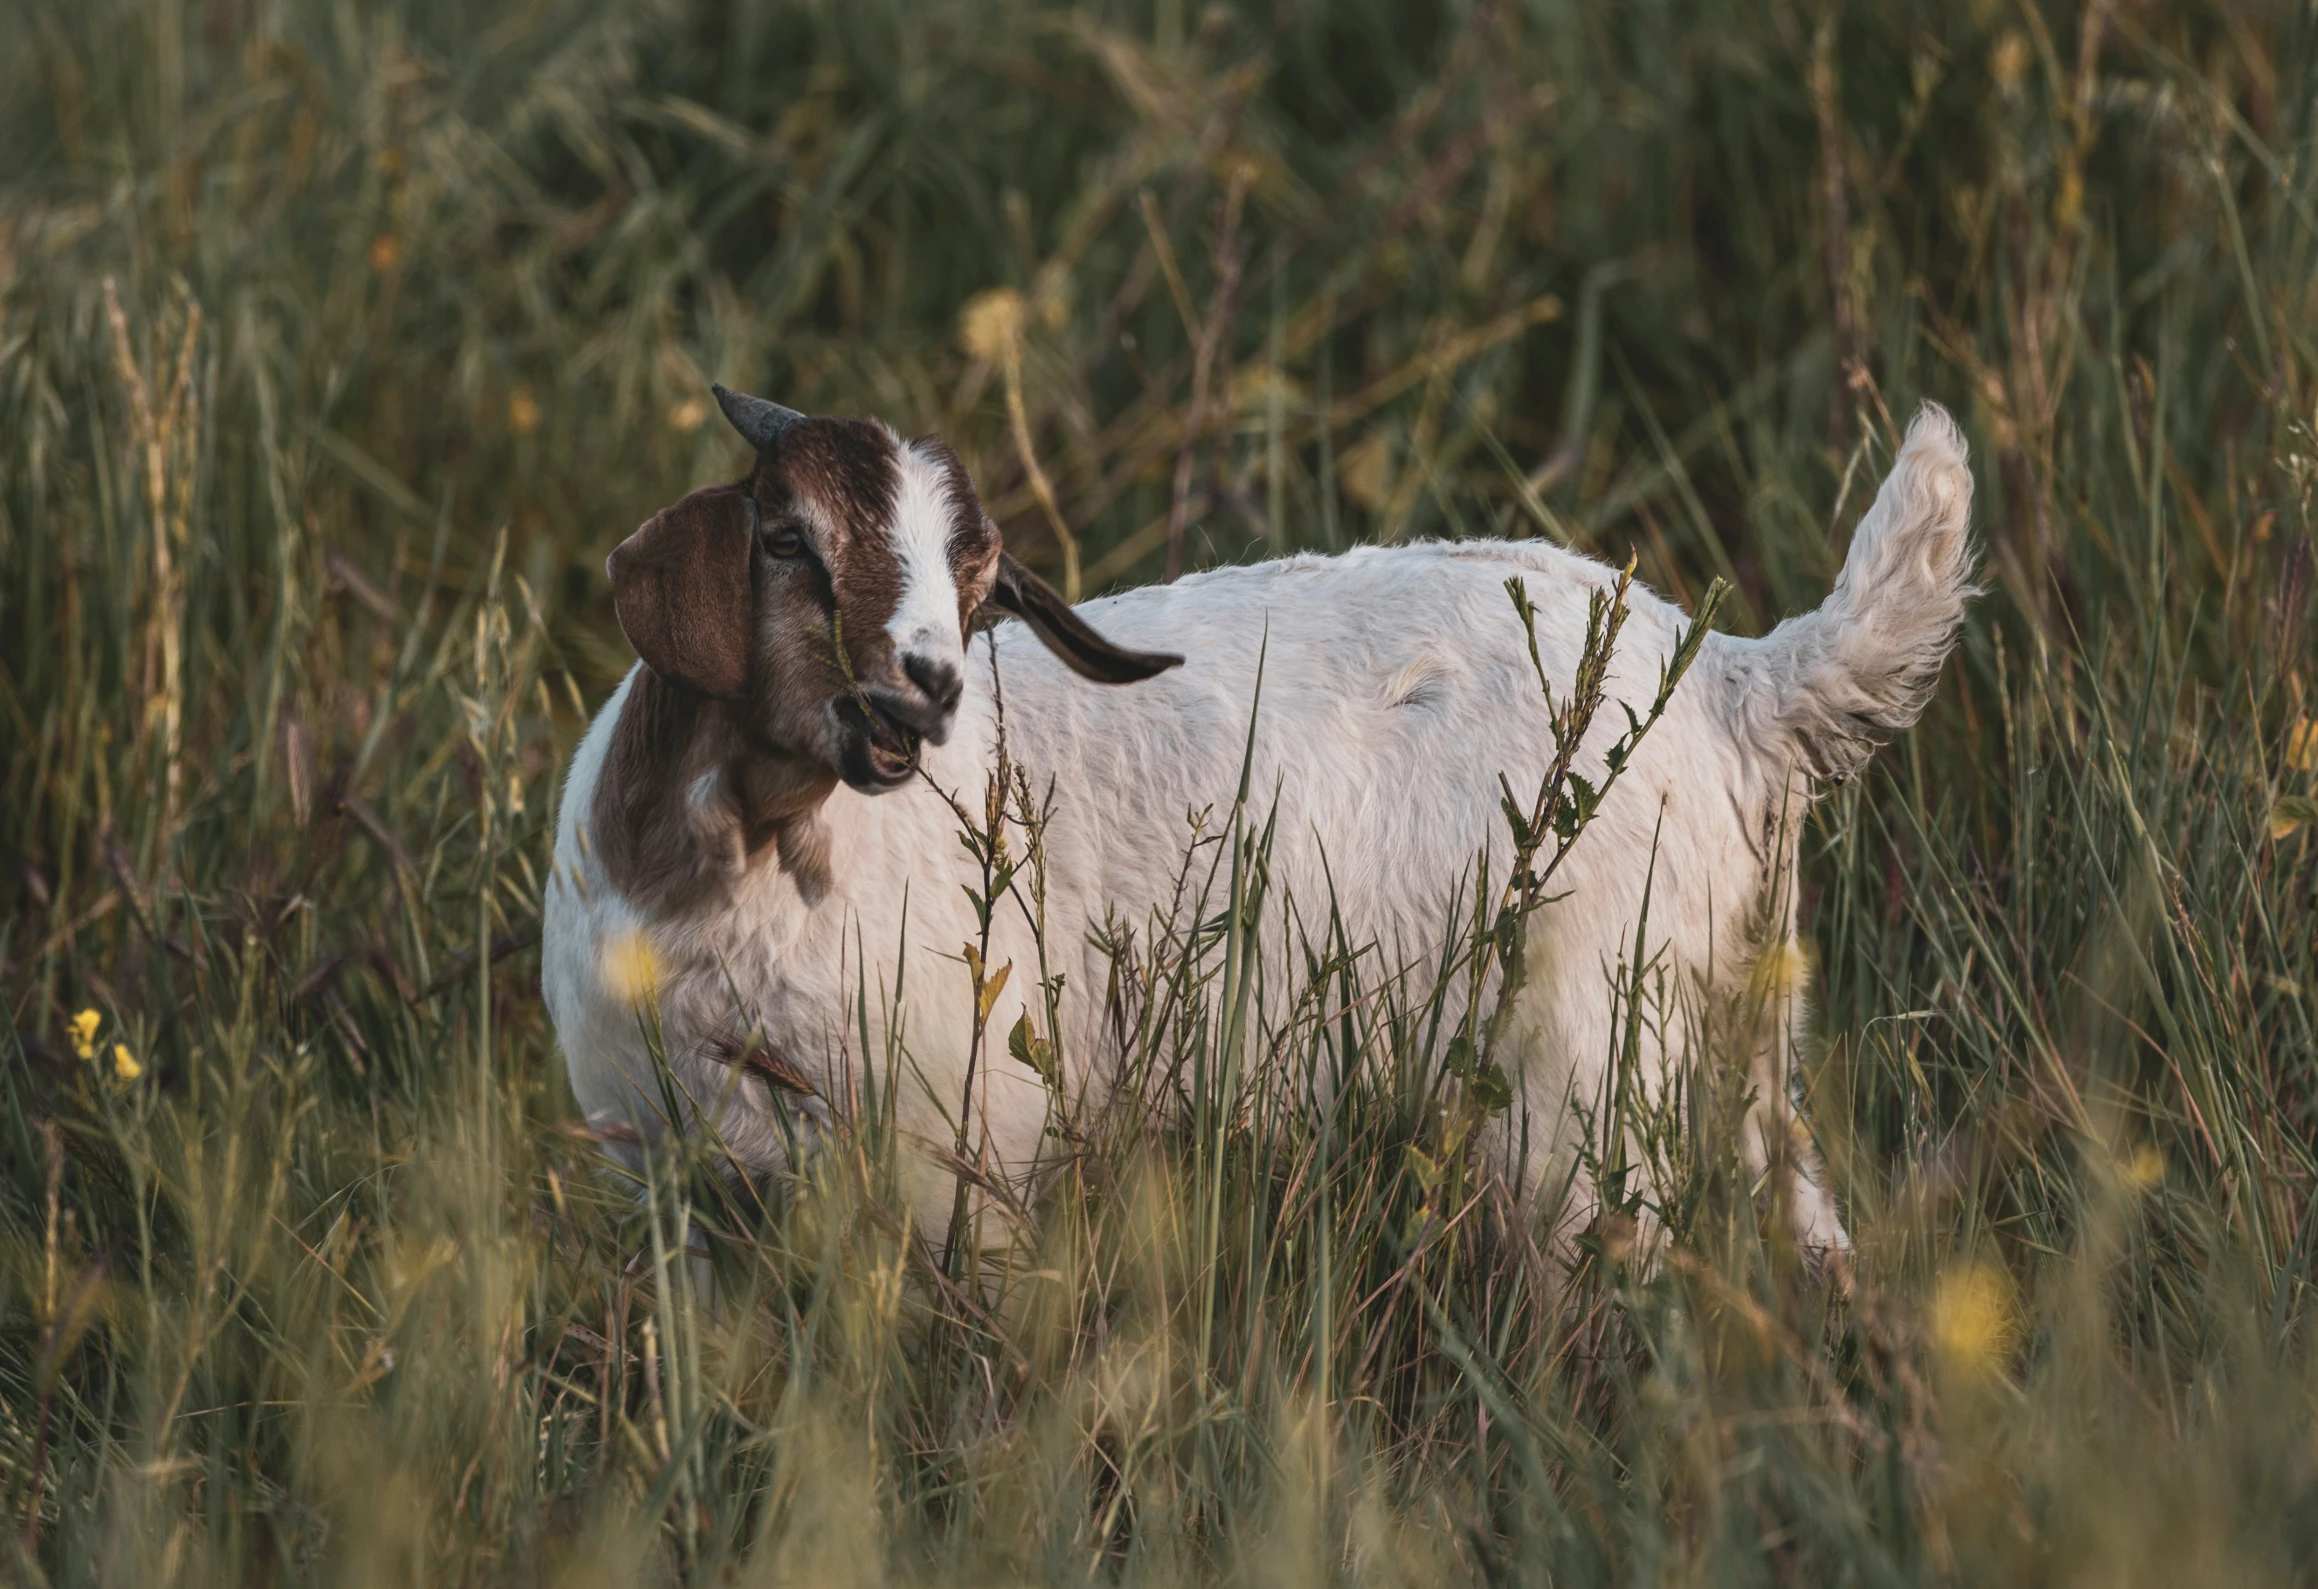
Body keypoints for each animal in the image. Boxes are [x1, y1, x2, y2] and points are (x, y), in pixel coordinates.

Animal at [542, 382, 1974, 1260]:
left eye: (976, 578)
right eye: (786, 538)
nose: (926, 690)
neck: (748, 865)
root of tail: (1736, 676)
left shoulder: (962, 1150)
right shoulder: (668, 1174)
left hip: (1586, 1076)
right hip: (1739, 1029)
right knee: (1808, 1232)